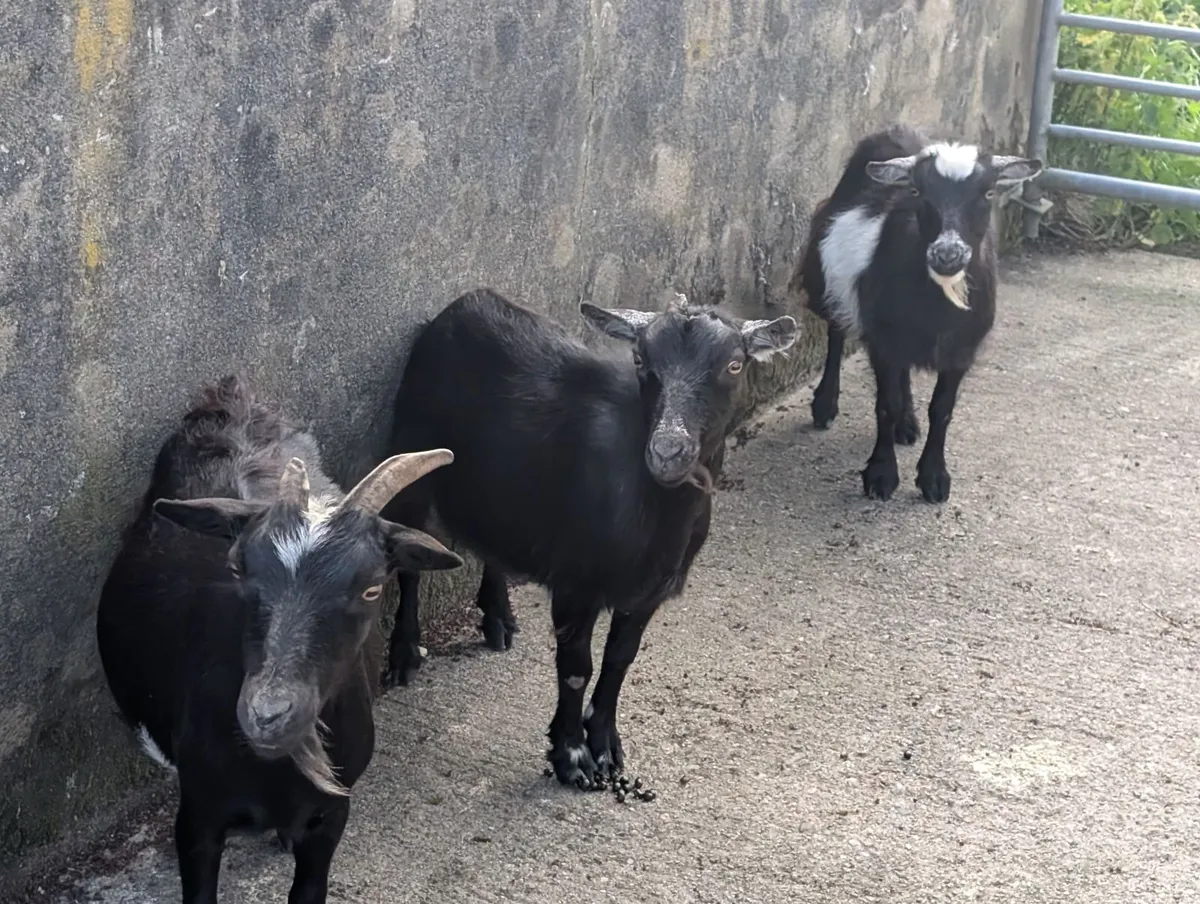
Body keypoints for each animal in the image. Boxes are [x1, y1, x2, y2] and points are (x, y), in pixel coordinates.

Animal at [96, 375, 462, 904]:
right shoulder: (198, 818)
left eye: (372, 587)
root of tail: (232, 398)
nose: (268, 715)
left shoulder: (332, 815)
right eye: (237, 566)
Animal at [378, 288, 797, 788]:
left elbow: (619, 660)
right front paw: (572, 756)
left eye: (734, 364)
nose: (667, 452)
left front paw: (605, 746)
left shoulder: (649, 591)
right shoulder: (576, 582)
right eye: (639, 359)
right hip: (412, 455)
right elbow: (577, 667)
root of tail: (466, 302)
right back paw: (404, 654)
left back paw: (499, 618)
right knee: (411, 556)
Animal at [793, 124, 1042, 502]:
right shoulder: (883, 339)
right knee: (836, 332)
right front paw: (881, 475)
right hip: (827, 277)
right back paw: (825, 406)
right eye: (916, 191)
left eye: (987, 193)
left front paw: (934, 478)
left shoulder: (960, 349)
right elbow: (886, 403)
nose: (947, 254)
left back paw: (907, 425)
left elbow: (942, 409)